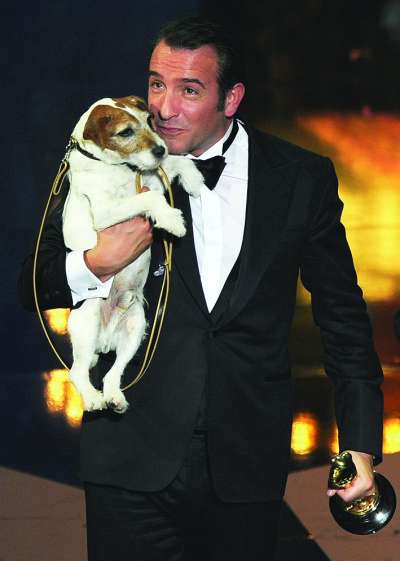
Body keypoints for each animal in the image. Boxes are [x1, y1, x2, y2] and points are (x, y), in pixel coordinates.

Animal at [62, 96, 204, 413]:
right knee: (77, 371)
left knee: (113, 373)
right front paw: (173, 221)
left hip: (136, 327)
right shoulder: (106, 211)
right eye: (125, 132)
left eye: (148, 120)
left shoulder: (152, 177)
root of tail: (104, 342)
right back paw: (93, 398)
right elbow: (148, 197)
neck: (116, 167)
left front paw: (195, 180)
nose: (161, 148)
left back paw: (114, 397)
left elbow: (176, 163)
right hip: (87, 319)